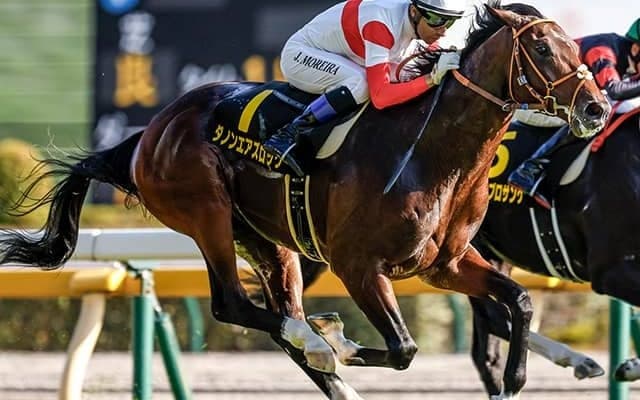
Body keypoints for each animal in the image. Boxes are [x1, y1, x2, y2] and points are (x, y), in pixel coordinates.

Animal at [0, 2, 608, 399]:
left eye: (576, 47)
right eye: (540, 46)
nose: (597, 109)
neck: (433, 153)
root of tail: (148, 133)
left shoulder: (446, 264)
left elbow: (519, 302)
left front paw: (517, 379)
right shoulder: (359, 266)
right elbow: (404, 348)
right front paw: (339, 339)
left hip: (269, 242)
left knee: (273, 309)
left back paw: (324, 361)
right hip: (205, 212)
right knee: (235, 305)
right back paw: (315, 340)